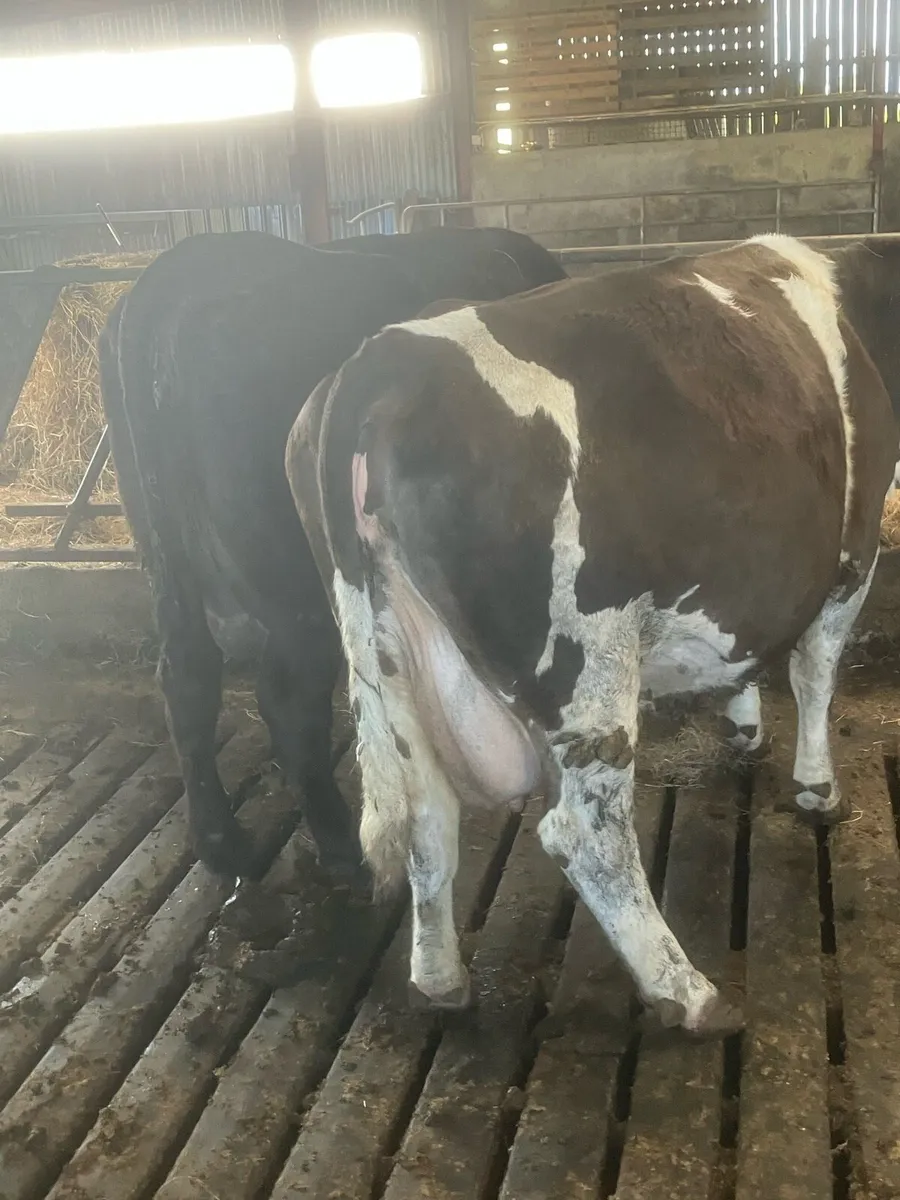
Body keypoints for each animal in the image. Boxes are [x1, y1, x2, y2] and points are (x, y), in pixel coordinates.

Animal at [98, 226, 566, 880]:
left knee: (189, 680)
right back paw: (342, 845)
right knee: (286, 701)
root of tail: (180, 270)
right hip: (299, 586)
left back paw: (223, 843)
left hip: (169, 568)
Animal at [287, 234, 900, 1036]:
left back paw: (439, 978)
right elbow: (816, 671)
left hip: (390, 656)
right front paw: (818, 788)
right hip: (589, 663)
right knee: (585, 833)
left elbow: (748, 656)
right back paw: (690, 994)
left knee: (428, 818)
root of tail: (382, 358)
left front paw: (744, 728)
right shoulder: (851, 558)